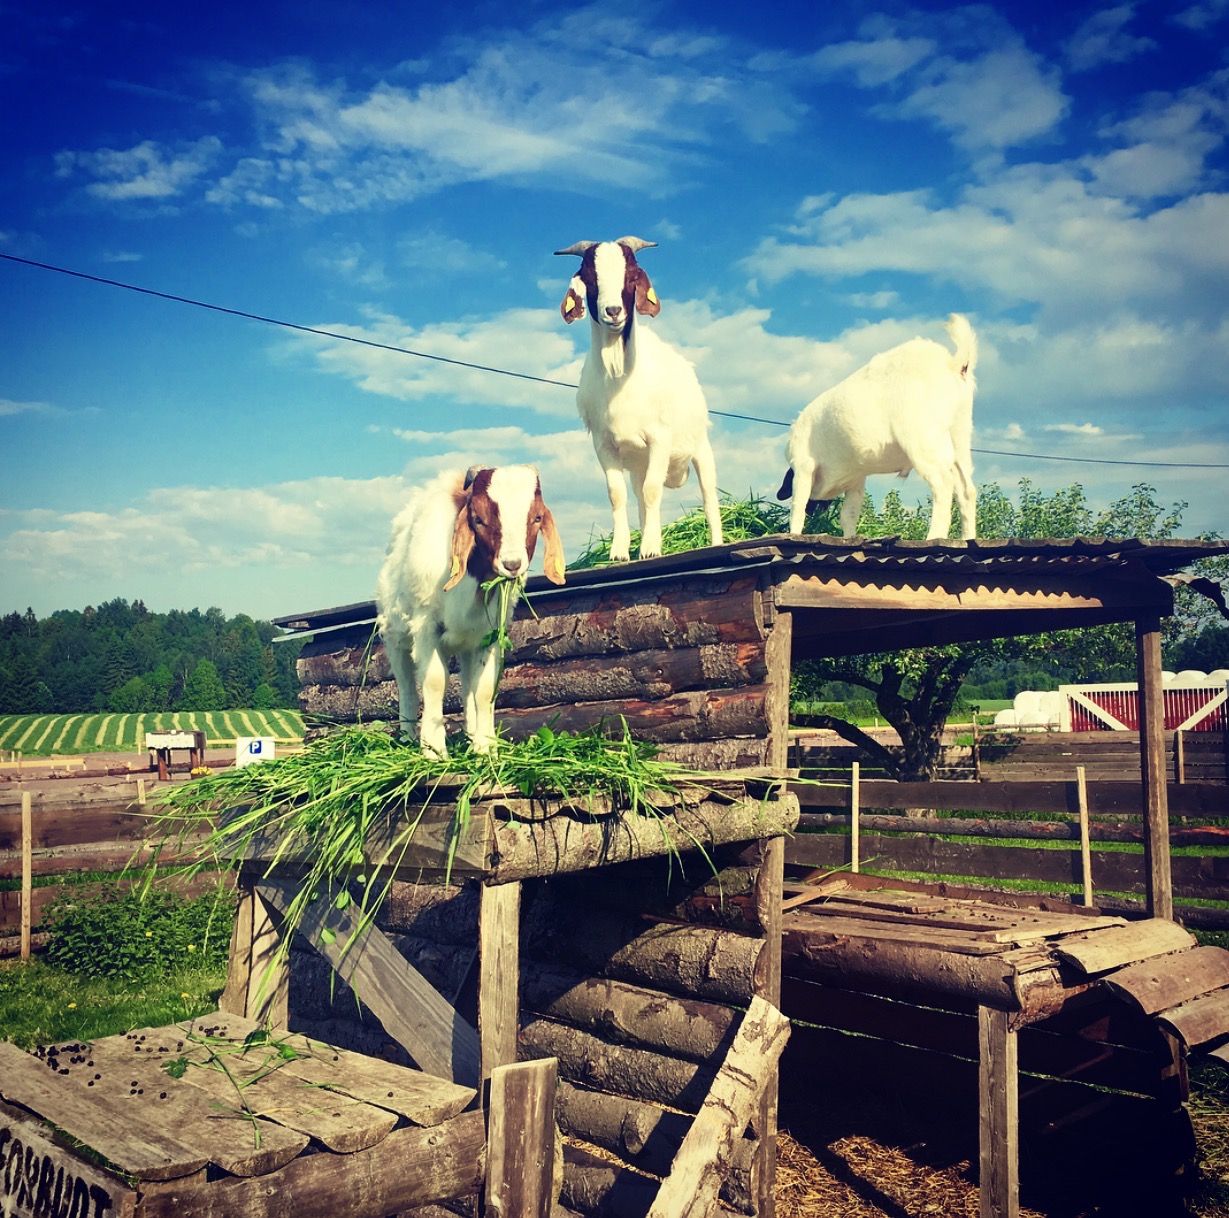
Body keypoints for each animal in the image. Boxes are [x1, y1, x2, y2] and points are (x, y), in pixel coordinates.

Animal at [376, 465, 565, 758]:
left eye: (536, 518)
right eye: (478, 518)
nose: (512, 564)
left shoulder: (489, 634)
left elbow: (484, 689)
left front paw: (486, 748)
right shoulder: (427, 626)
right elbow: (434, 681)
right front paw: (434, 751)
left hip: (465, 644)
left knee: (467, 686)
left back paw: (470, 734)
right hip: (395, 636)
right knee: (406, 686)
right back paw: (407, 738)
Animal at [556, 237, 723, 561]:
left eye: (631, 277)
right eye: (590, 278)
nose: (613, 311)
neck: (619, 373)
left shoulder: (660, 437)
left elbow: (653, 491)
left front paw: (650, 549)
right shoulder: (604, 444)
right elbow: (618, 495)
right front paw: (620, 552)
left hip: (700, 448)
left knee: (708, 496)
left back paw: (717, 543)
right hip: (638, 464)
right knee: (640, 497)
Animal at [776, 314, 978, 539]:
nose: (815, 512)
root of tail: (953, 363)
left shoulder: (803, 465)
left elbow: (798, 507)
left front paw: (793, 534)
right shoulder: (856, 480)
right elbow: (848, 515)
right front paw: (849, 538)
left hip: (923, 439)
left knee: (943, 483)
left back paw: (934, 537)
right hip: (959, 436)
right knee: (966, 490)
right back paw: (968, 538)